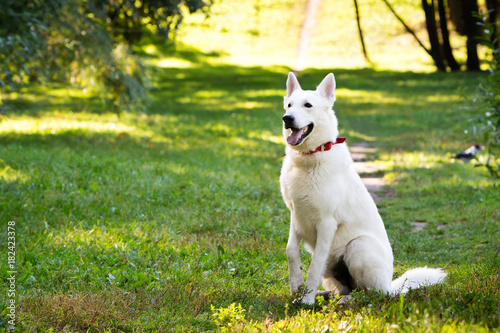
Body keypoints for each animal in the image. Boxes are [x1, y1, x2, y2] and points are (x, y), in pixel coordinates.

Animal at [280, 72, 448, 304]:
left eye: (308, 105)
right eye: (289, 105)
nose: (287, 119)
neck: (309, 159)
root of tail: (392, 285)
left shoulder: (326, 224)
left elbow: (314, 266)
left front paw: (306, 301)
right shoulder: (296, 216)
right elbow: (291, 251)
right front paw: (296, 284)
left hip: (359, 246)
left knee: (372, 294)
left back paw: (347, 300)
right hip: (333, 269)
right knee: (343, 288)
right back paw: (326, 295)